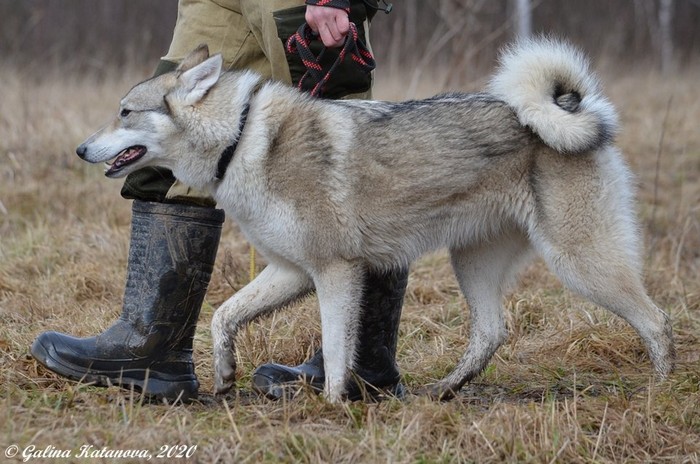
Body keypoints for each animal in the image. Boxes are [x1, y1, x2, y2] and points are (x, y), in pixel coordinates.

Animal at [76, 38, 674, 402]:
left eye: (125, 112)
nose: (81, 148)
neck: (241, 139)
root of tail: (574, 108)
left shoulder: (335, 273)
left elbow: (337, 349)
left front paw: (331, 406)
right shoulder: (292, 272)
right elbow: (223, 316)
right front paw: (224, 376)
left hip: (581, 265)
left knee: (657, 320)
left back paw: (663, 389)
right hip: (472, 264)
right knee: (491, 332)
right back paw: (443, 393)